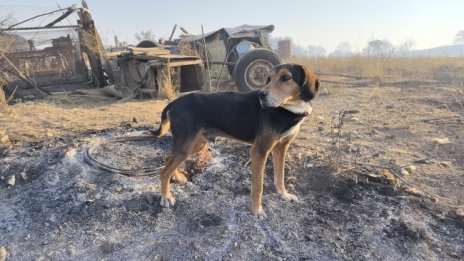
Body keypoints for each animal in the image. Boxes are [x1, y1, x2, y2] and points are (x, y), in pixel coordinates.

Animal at [152, 63, 320, 217]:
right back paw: (166, 197)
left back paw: (178, 178)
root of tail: (174, 103)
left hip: (196, 144)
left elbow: (280, 176)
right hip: (187, 145)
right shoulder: (260, 150)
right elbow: (258, 186)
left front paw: (284, 195)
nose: (261, 95)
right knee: (164, 171)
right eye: (268, 79)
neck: (287, 109)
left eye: (286, 77)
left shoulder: (281, 147)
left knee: (167, 158)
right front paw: (257, 211)